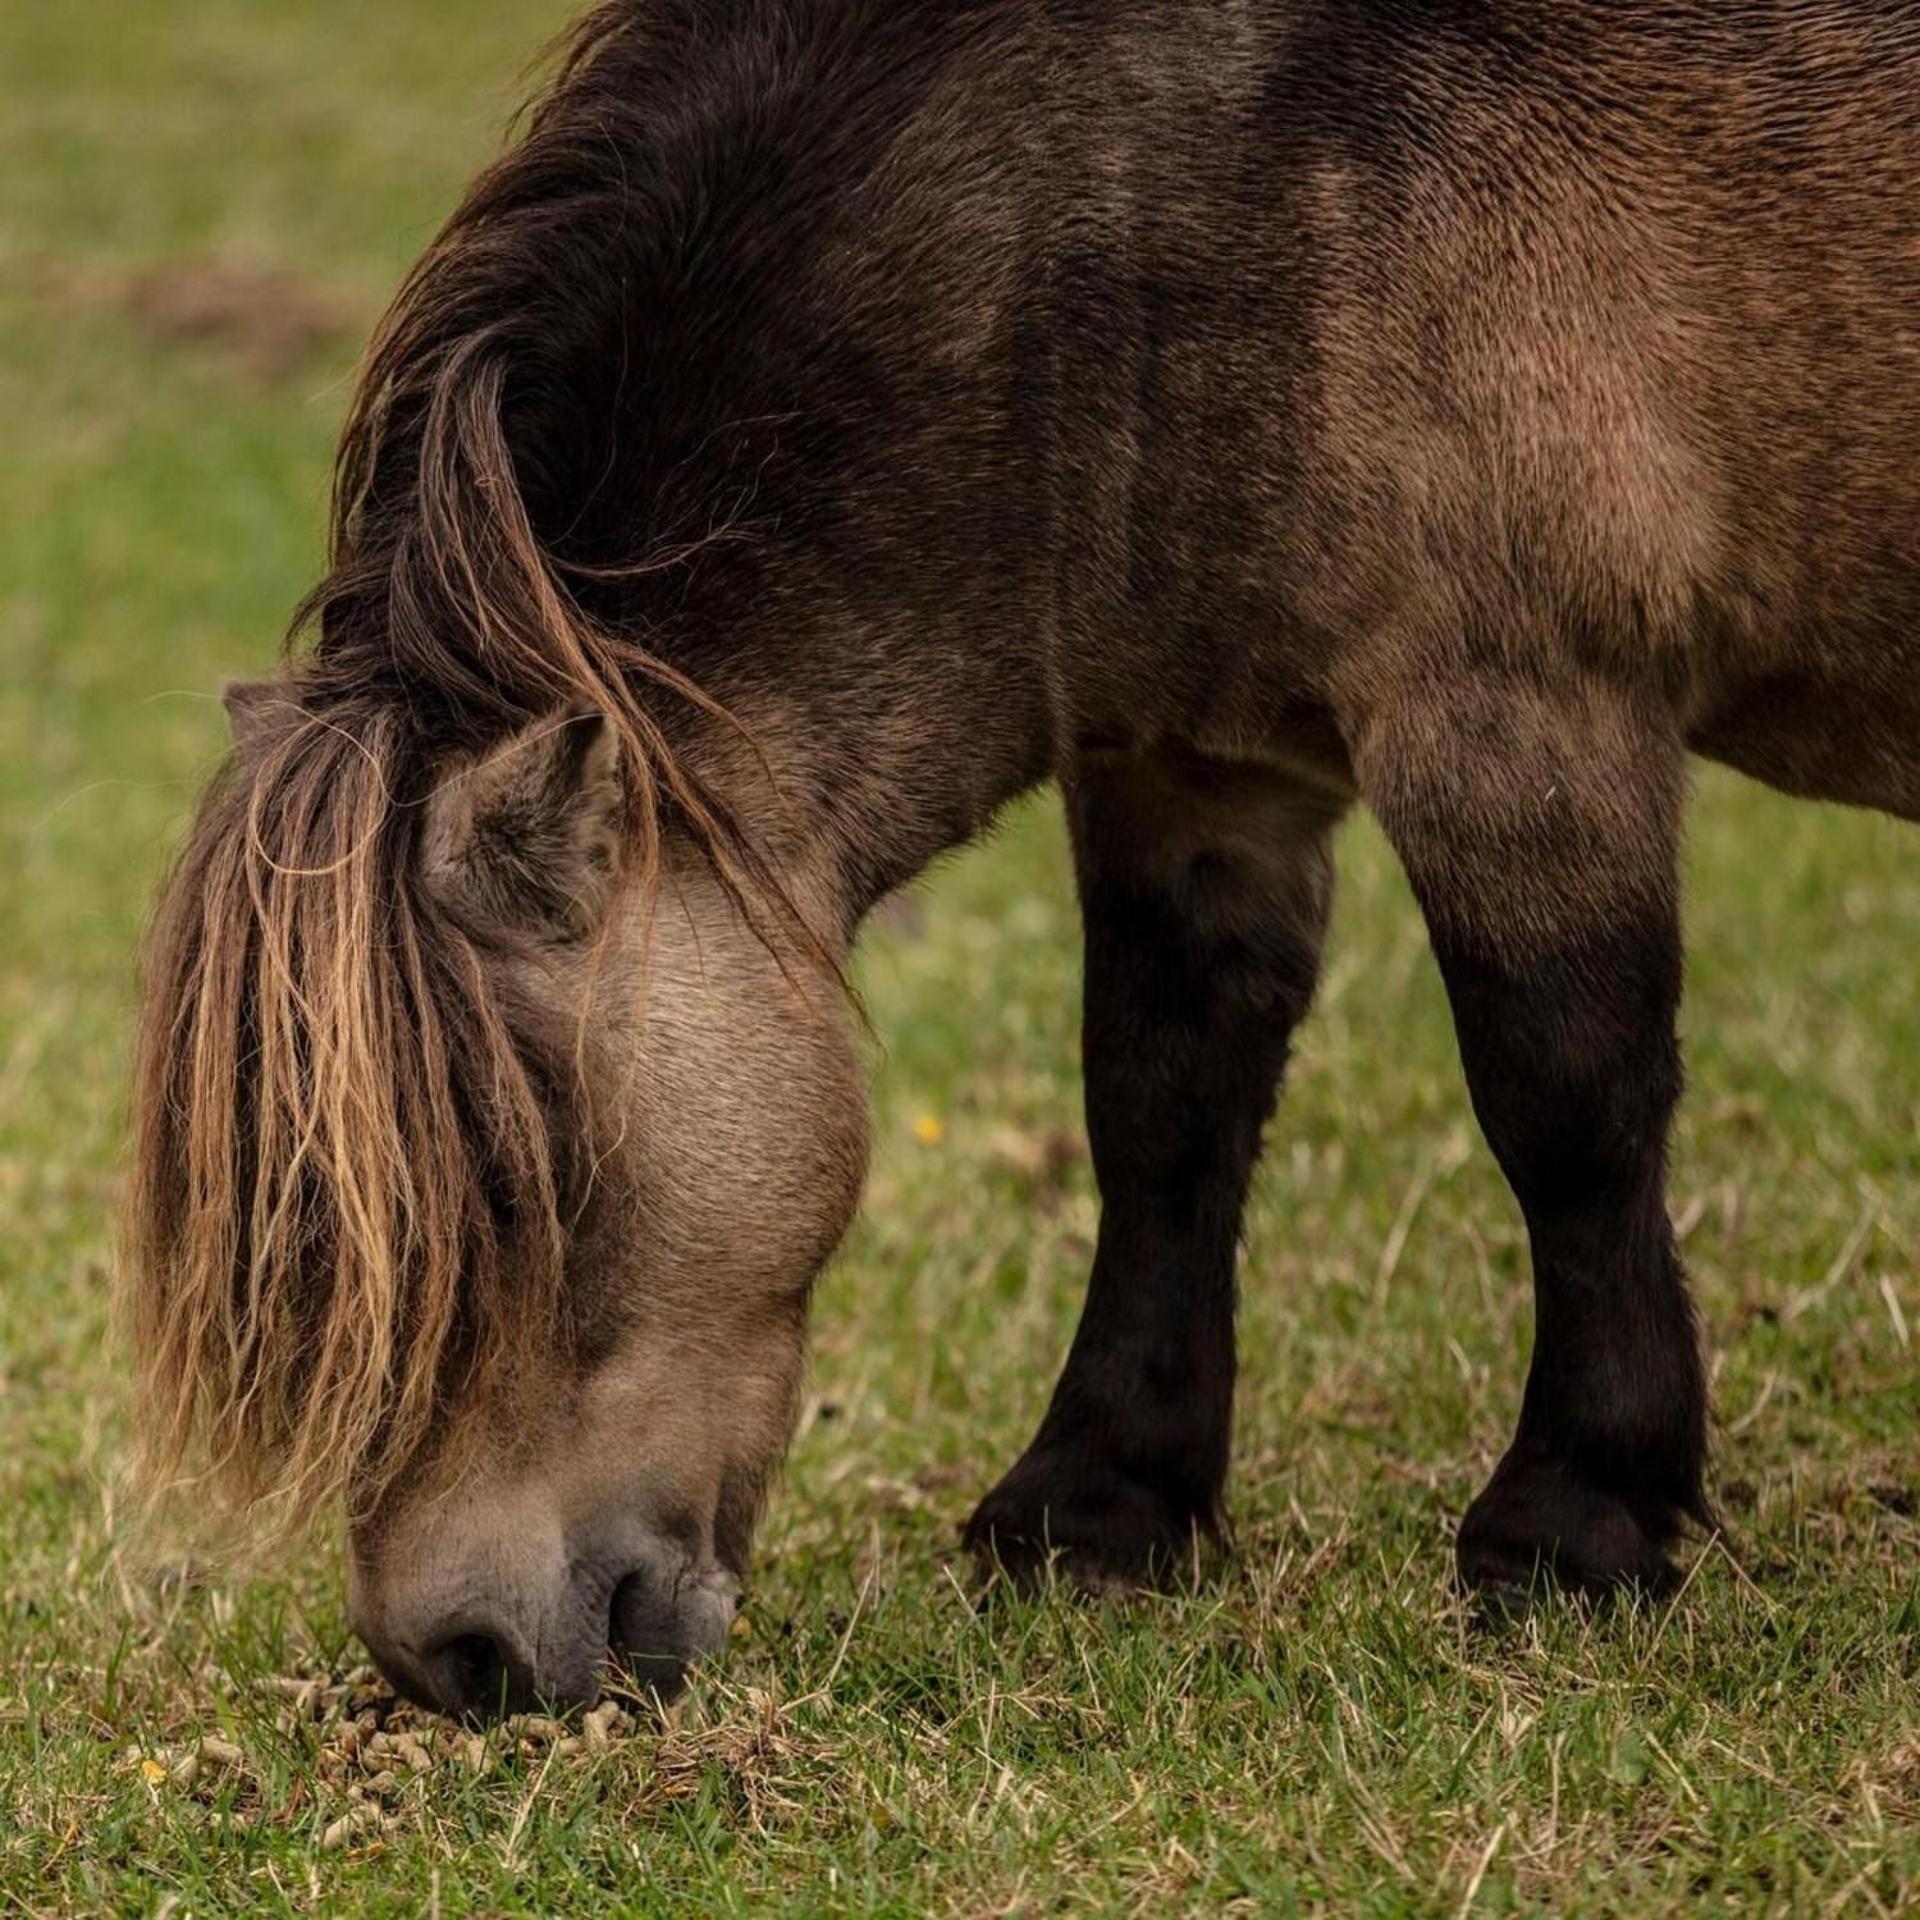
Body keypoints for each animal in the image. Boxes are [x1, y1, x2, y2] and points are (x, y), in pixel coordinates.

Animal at [127, 0, 1912, 1712]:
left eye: (513, 1176)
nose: (453, 1661)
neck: (1224, 182)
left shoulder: (1520, 714)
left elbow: (1568, 1111)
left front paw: (1577, 1519)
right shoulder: (1194, 772)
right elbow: (1162, 1106)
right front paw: (1102, 1504)